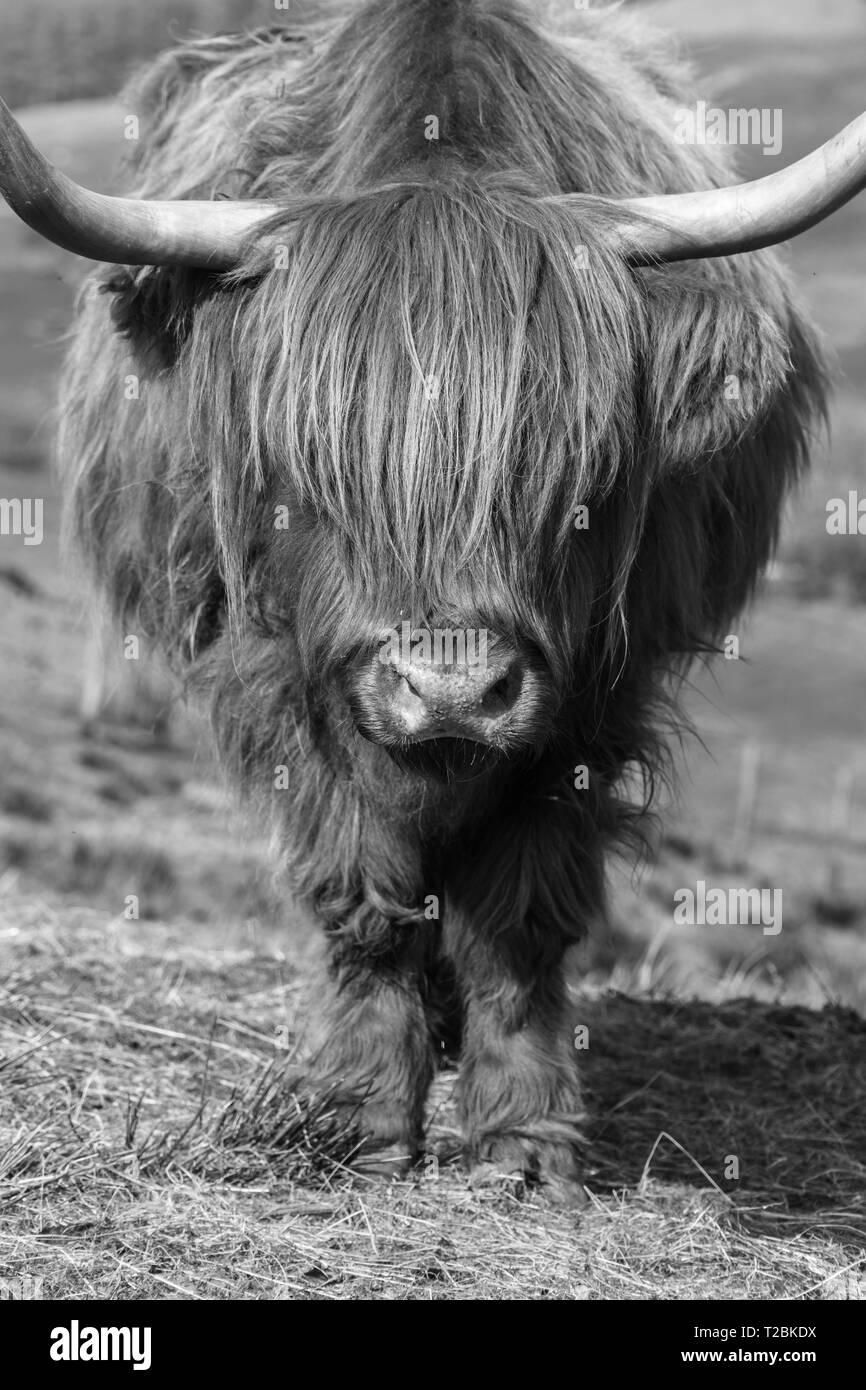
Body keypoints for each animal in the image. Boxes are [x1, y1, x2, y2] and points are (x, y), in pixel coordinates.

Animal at [0, 0, 861, 1200]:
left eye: (579, 476)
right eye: (310, 471)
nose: (452, 690)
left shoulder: (594, 692)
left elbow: (521, 914)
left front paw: (524, 1141)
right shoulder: (277, 675)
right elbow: (362, 891)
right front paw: (361, 1119)